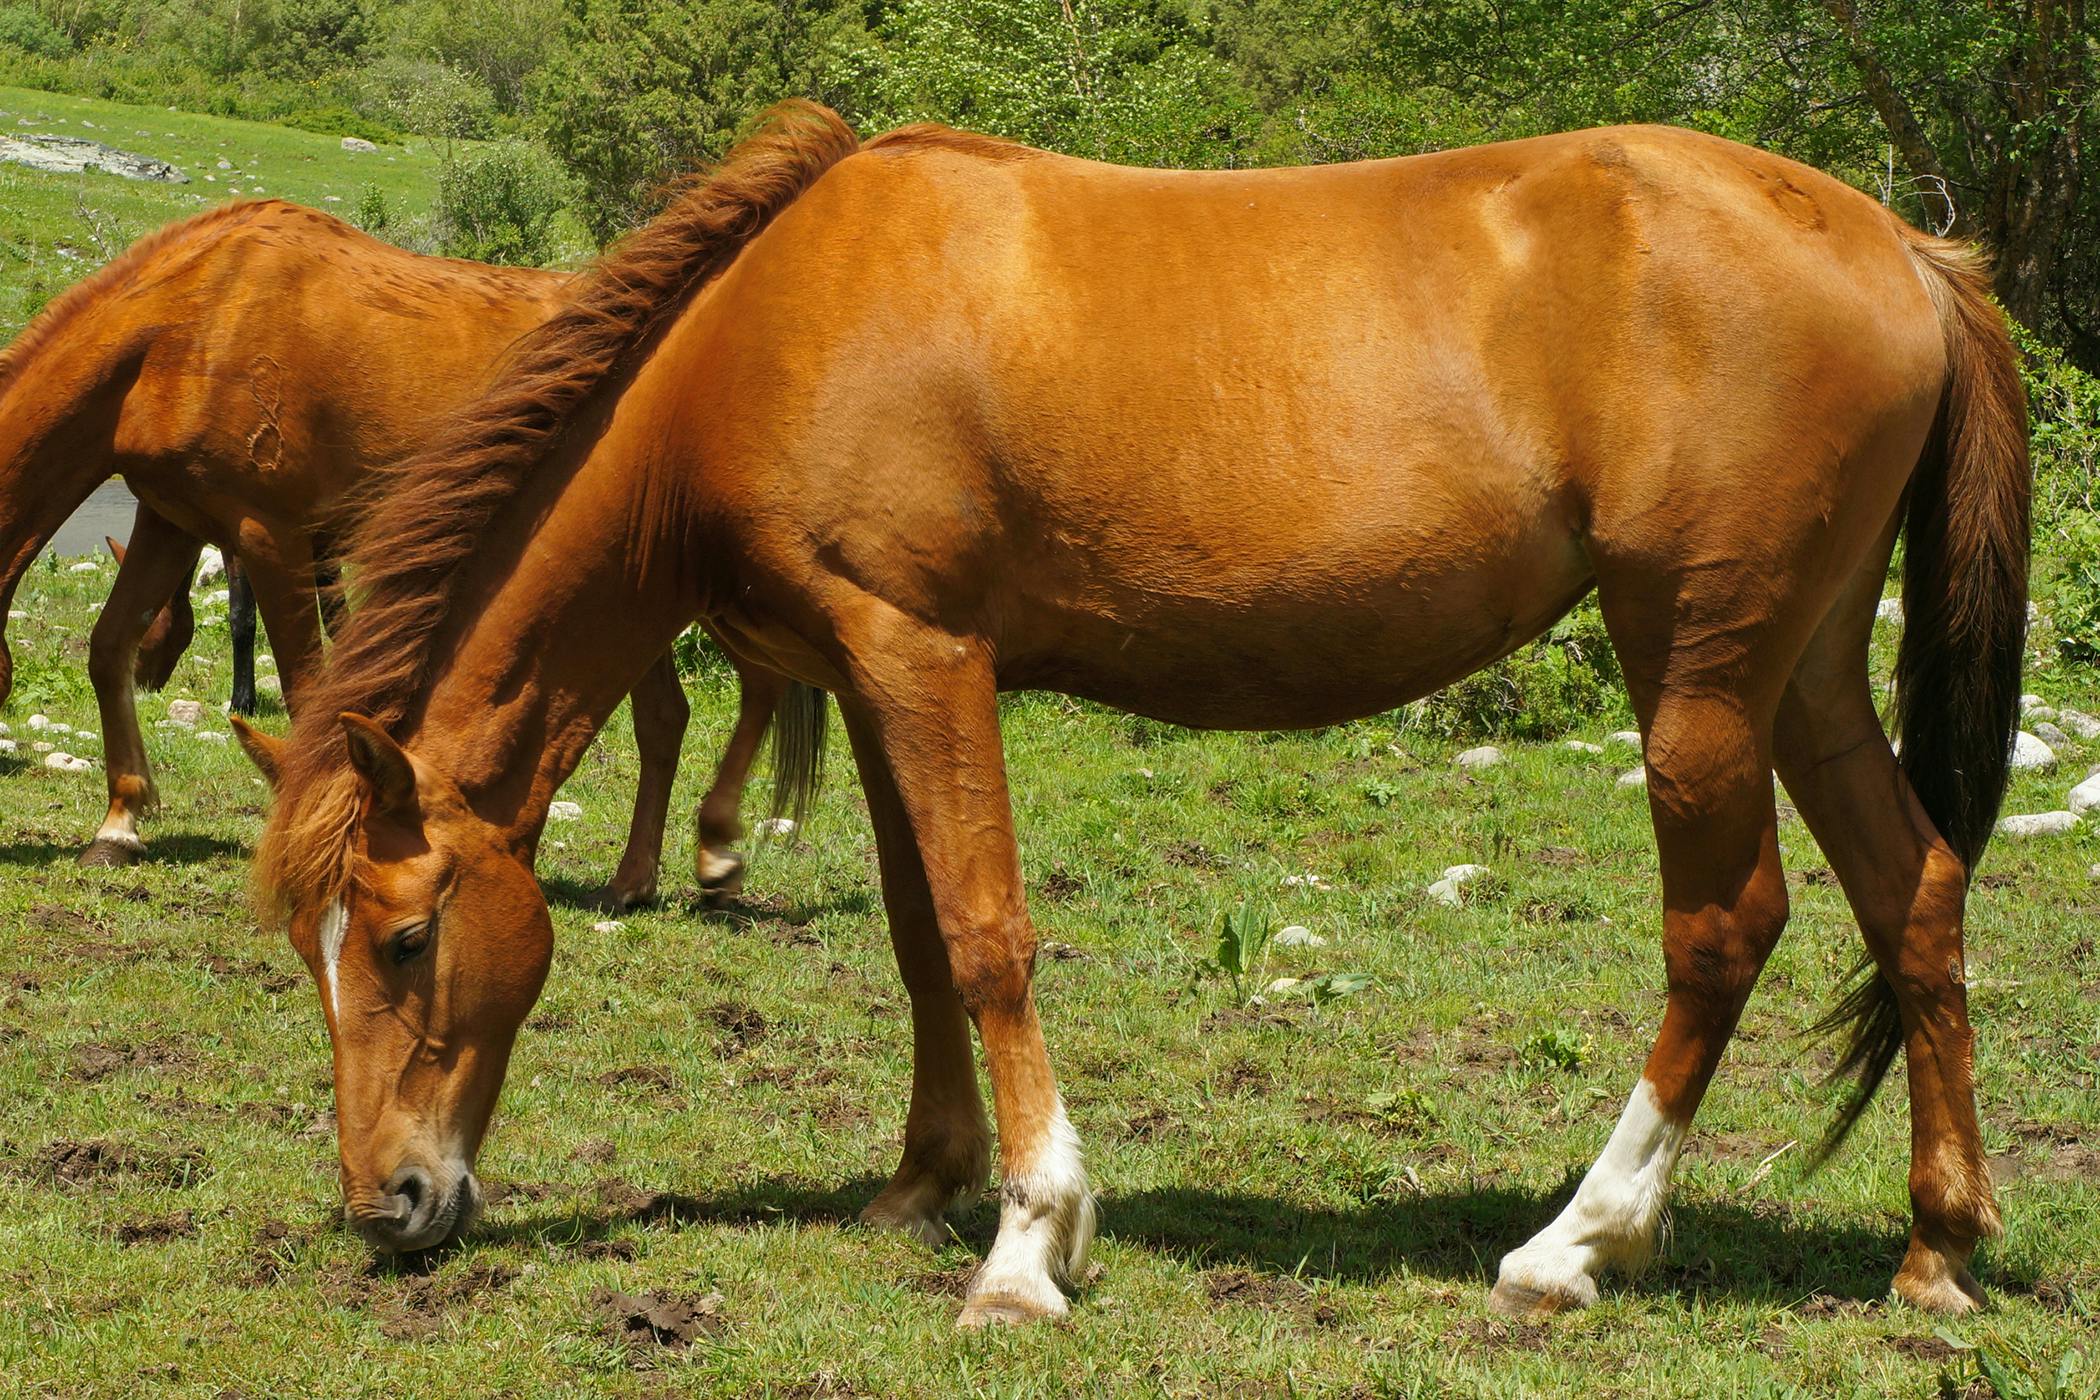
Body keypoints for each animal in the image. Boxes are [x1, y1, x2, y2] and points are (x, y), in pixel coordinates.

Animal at [0, 205, 814, 910]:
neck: (194, 322)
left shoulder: (271, 536)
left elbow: (307, 689)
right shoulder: (172, 519)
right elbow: (109, 649)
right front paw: (119, 824)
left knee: (751, 690)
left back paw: (710, 856)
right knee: (672, 716)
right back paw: (642, 878)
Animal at [249, 107, 2032, 1326]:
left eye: (404, 937)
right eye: (313, 952)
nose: (385, 1203)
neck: (766, 334)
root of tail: (1906, 250)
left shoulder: (922, 656)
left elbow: (985, 935)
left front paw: (1029, 1242)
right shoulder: (871, 675)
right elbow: (918, 931)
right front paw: (924, 1183)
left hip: (1702, 671)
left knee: (1726, 929)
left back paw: (1575, 1244)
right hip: (1803, 669)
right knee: (1915, 892)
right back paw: (1936, 1252)